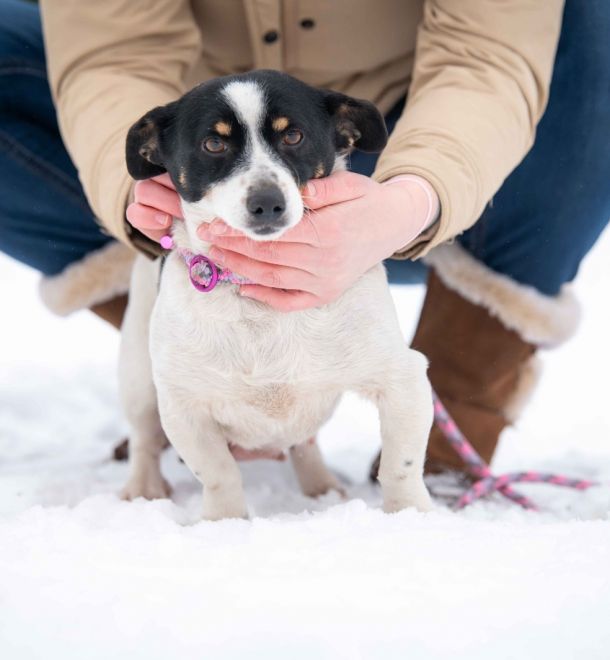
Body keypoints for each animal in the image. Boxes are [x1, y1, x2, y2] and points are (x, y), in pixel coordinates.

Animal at [119, 70, 433, 520]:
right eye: (214, 144)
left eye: (294, 136)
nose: (267, 203)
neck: (261, 297)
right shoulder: (184, 406)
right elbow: (218, 473)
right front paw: (225, 522)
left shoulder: (403, 378)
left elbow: (400, 465)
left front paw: (410, 515)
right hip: (140, 378)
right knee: (143, 436)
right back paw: (142, 488)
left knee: (304, 443)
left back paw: (321, 488)